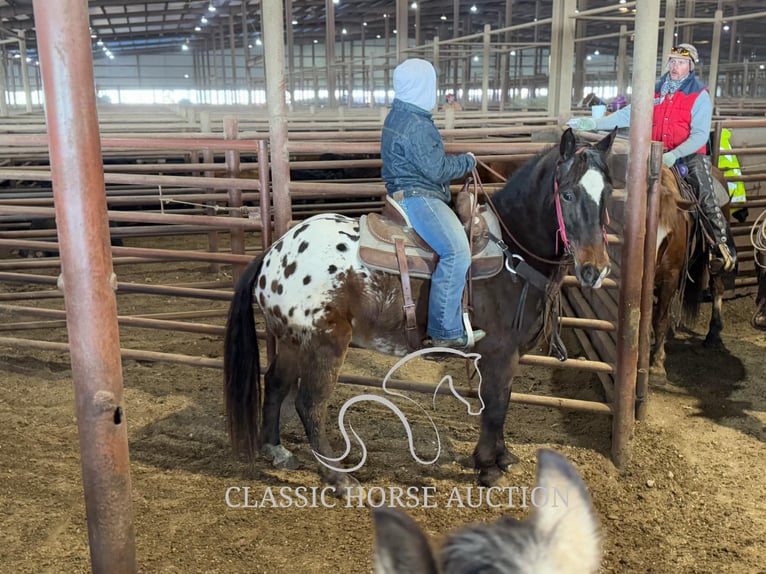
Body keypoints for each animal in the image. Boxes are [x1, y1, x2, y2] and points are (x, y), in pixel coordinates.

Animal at [224, 128, 616, 492]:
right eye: (567, 193)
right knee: (310, 404)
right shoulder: (499, 353)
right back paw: (340, 480)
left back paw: (276, 450)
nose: (595, 270)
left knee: (275, 383)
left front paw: (503, 457)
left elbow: (500, 402)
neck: (511, 253)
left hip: (292, 340)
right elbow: (494, 405)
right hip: (325, 342)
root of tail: (274, 251)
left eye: (608, 193)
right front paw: (487, 466)